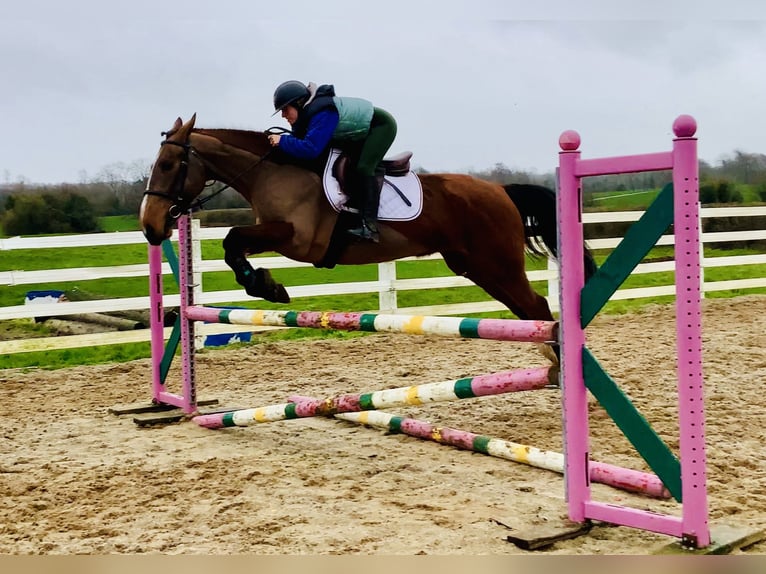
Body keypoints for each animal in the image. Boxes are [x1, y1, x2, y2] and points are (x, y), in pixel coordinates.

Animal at [140, 114, 596, 358]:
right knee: (532, 312)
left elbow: (233, 238)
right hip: (476, 267)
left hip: (496, 265)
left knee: (537, 307)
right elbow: (233, 242)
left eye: (168, 165)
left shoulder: (297, 239)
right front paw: (264, 285)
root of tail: (500, 190)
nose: (150, 226)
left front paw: (267, 287)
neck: (272, 172)